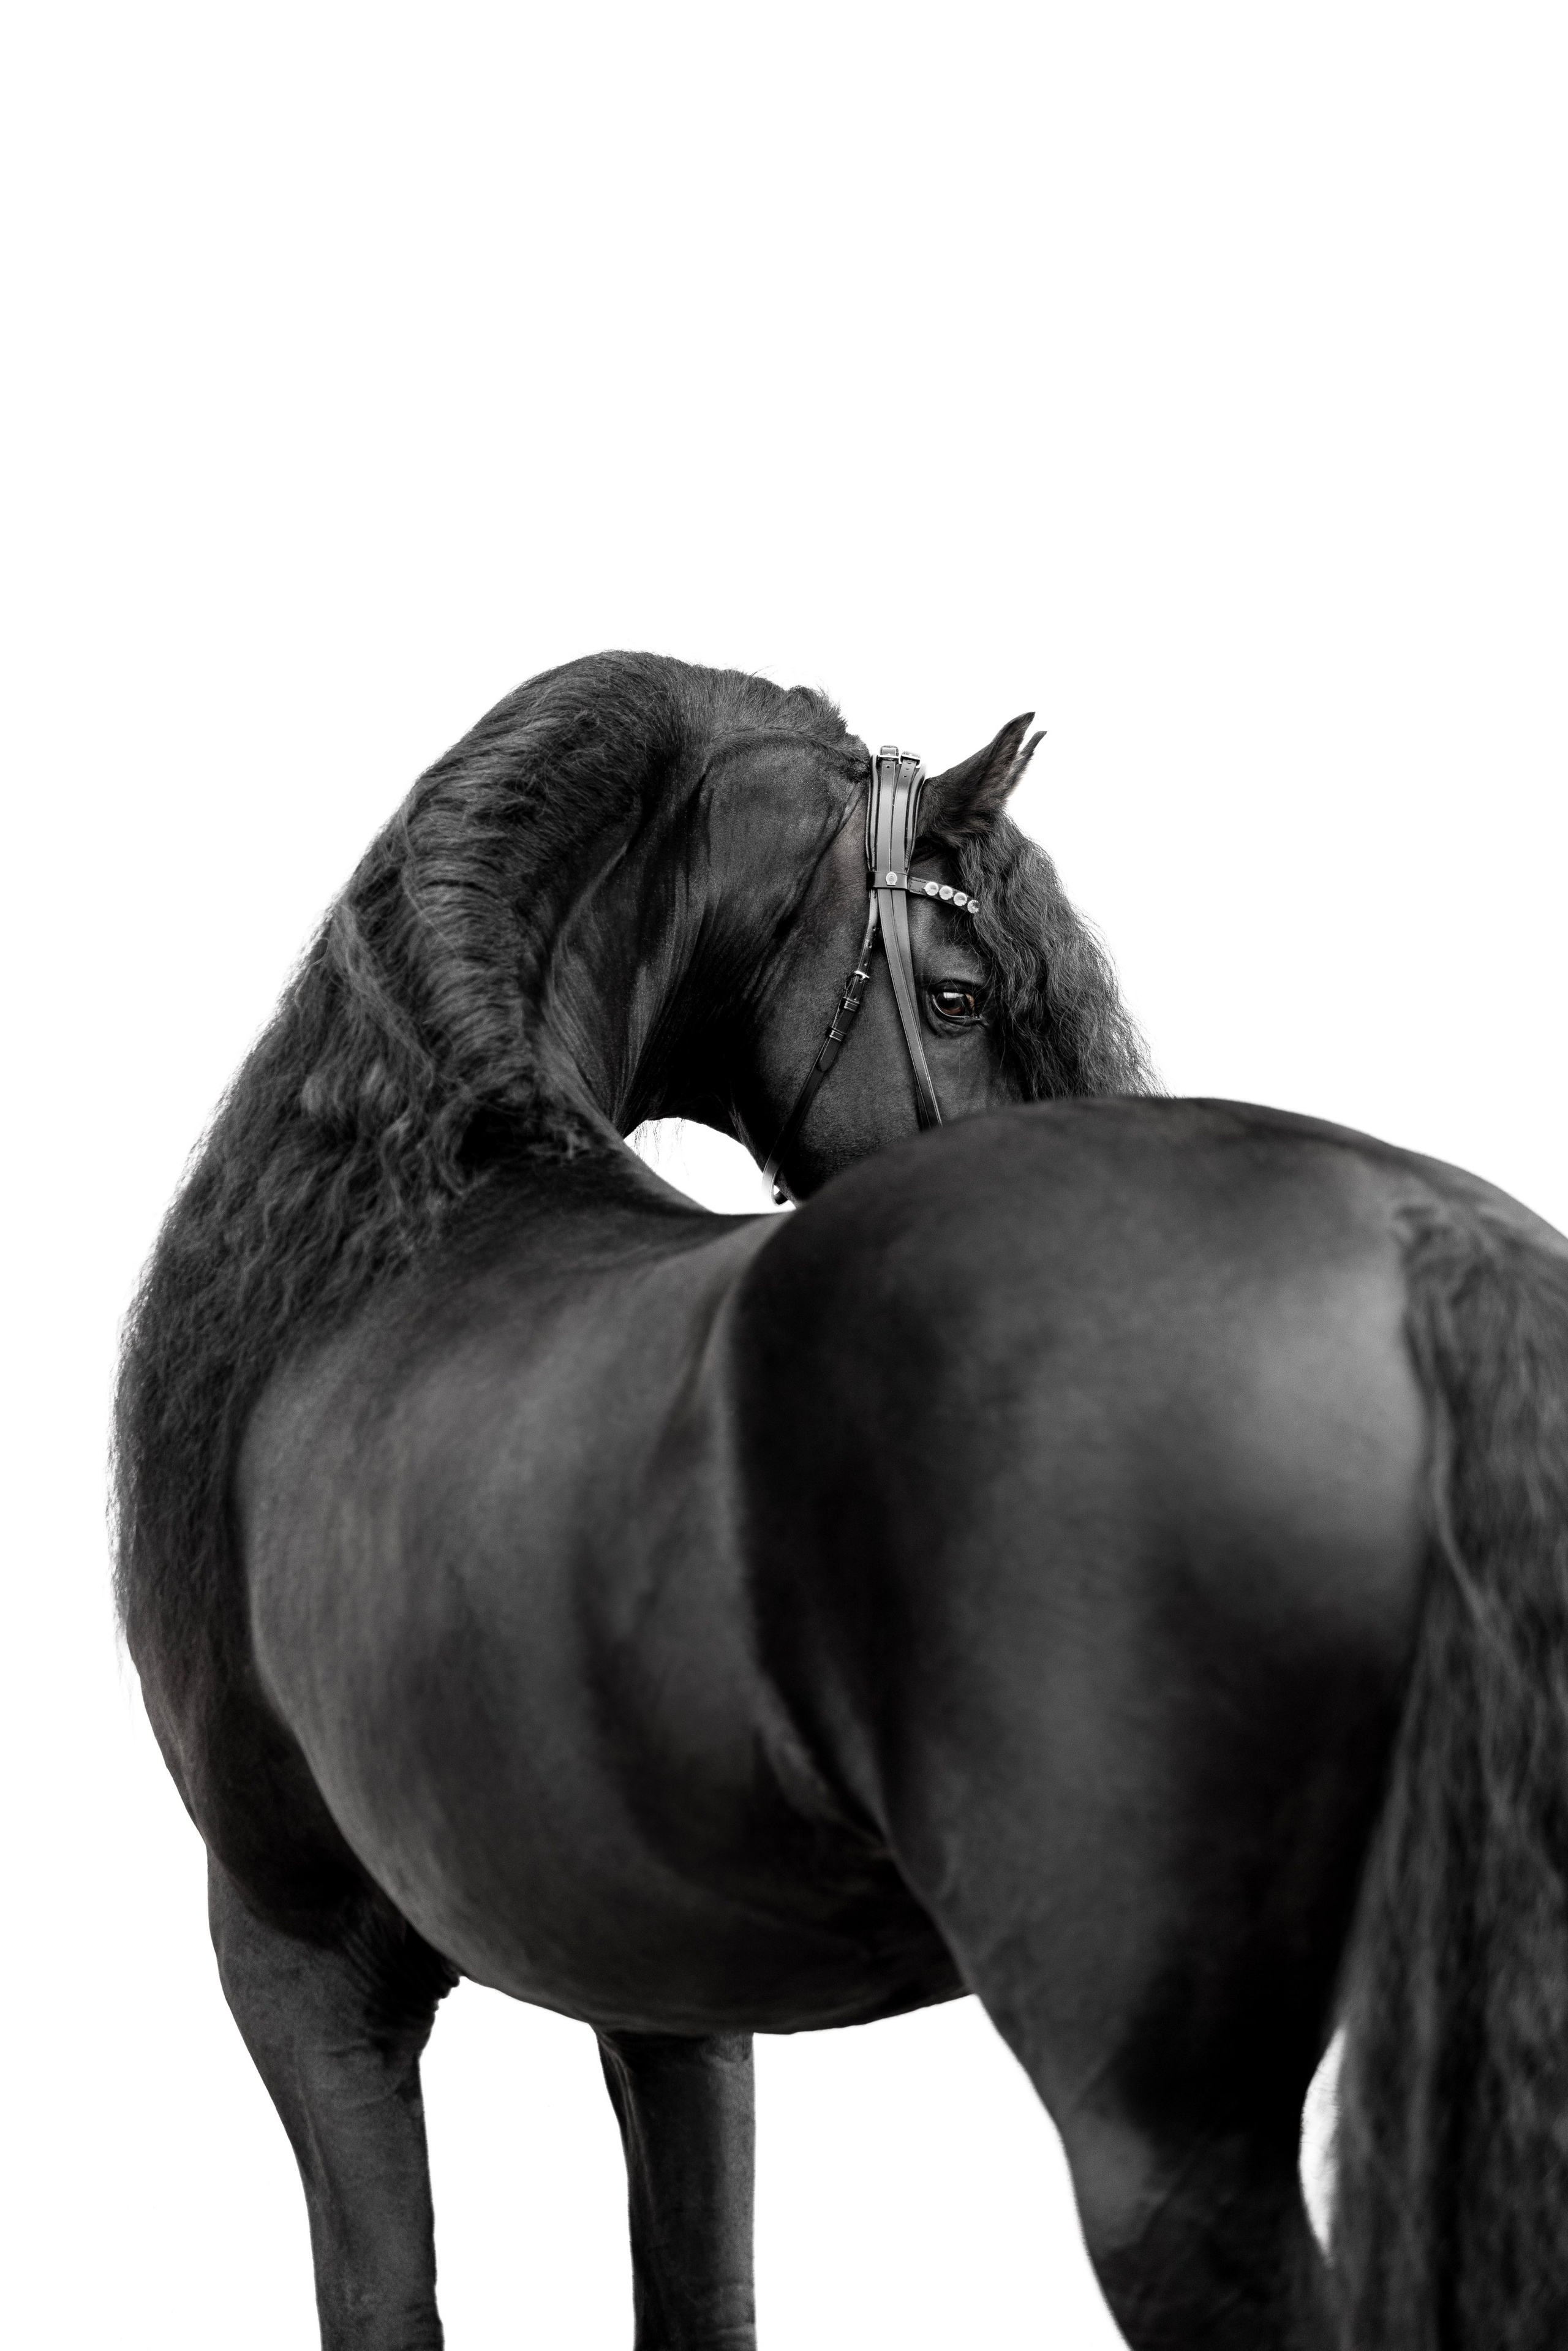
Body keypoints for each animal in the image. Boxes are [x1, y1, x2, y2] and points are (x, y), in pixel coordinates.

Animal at [114, 651, 1568, 2350]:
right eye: (956, 995)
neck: (391, 1229)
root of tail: (1419, 1235)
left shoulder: (299, 1958)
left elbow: (386, 2299)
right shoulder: (664, 2000)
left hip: (1165, 2148)